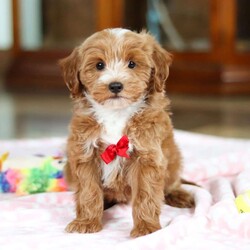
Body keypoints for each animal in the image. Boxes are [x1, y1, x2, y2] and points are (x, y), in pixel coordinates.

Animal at [59, 28, 195, 237]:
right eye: (99, 65)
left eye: (132, 64)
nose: (115, 85)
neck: (116, 113)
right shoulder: (85, 154)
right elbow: (88, 192)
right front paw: (86, 221)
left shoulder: (147, 156)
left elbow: (146, 194)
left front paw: (146, 228)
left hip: (173, 158)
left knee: (172, 181)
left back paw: (178, 194)